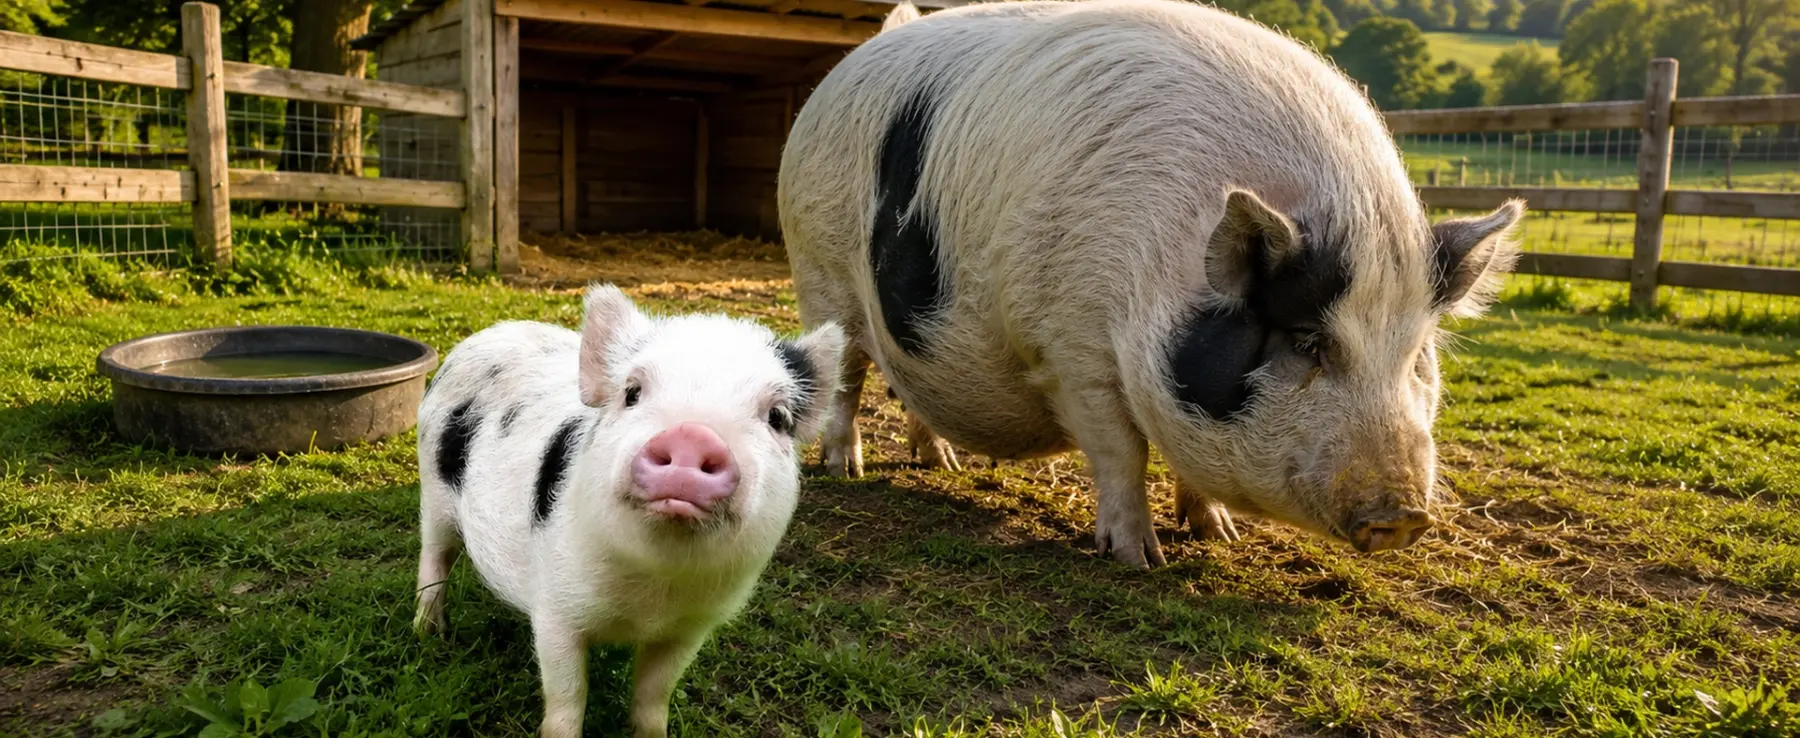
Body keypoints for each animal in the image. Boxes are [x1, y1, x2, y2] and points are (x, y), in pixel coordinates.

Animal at [411, 284, 845, 738]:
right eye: (632, 392)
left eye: (777, 417)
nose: (691, 434)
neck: (652, 595)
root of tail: (488, 334)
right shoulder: (557, 613)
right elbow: (568, 697)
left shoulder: (689, 628)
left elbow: (655, 695)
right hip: (433, 489)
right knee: (435, 555)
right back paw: (429, 633)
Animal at [777, 0, 1524, 568]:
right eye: (1308, 340)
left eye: (1416, 355)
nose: (1402, 516)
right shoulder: (1070, 346)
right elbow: (1122, 450)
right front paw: (1139, 559)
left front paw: (1218, 534)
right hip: (819, 267)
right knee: (847, 377)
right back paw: (845, 469)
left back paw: (944, 464)